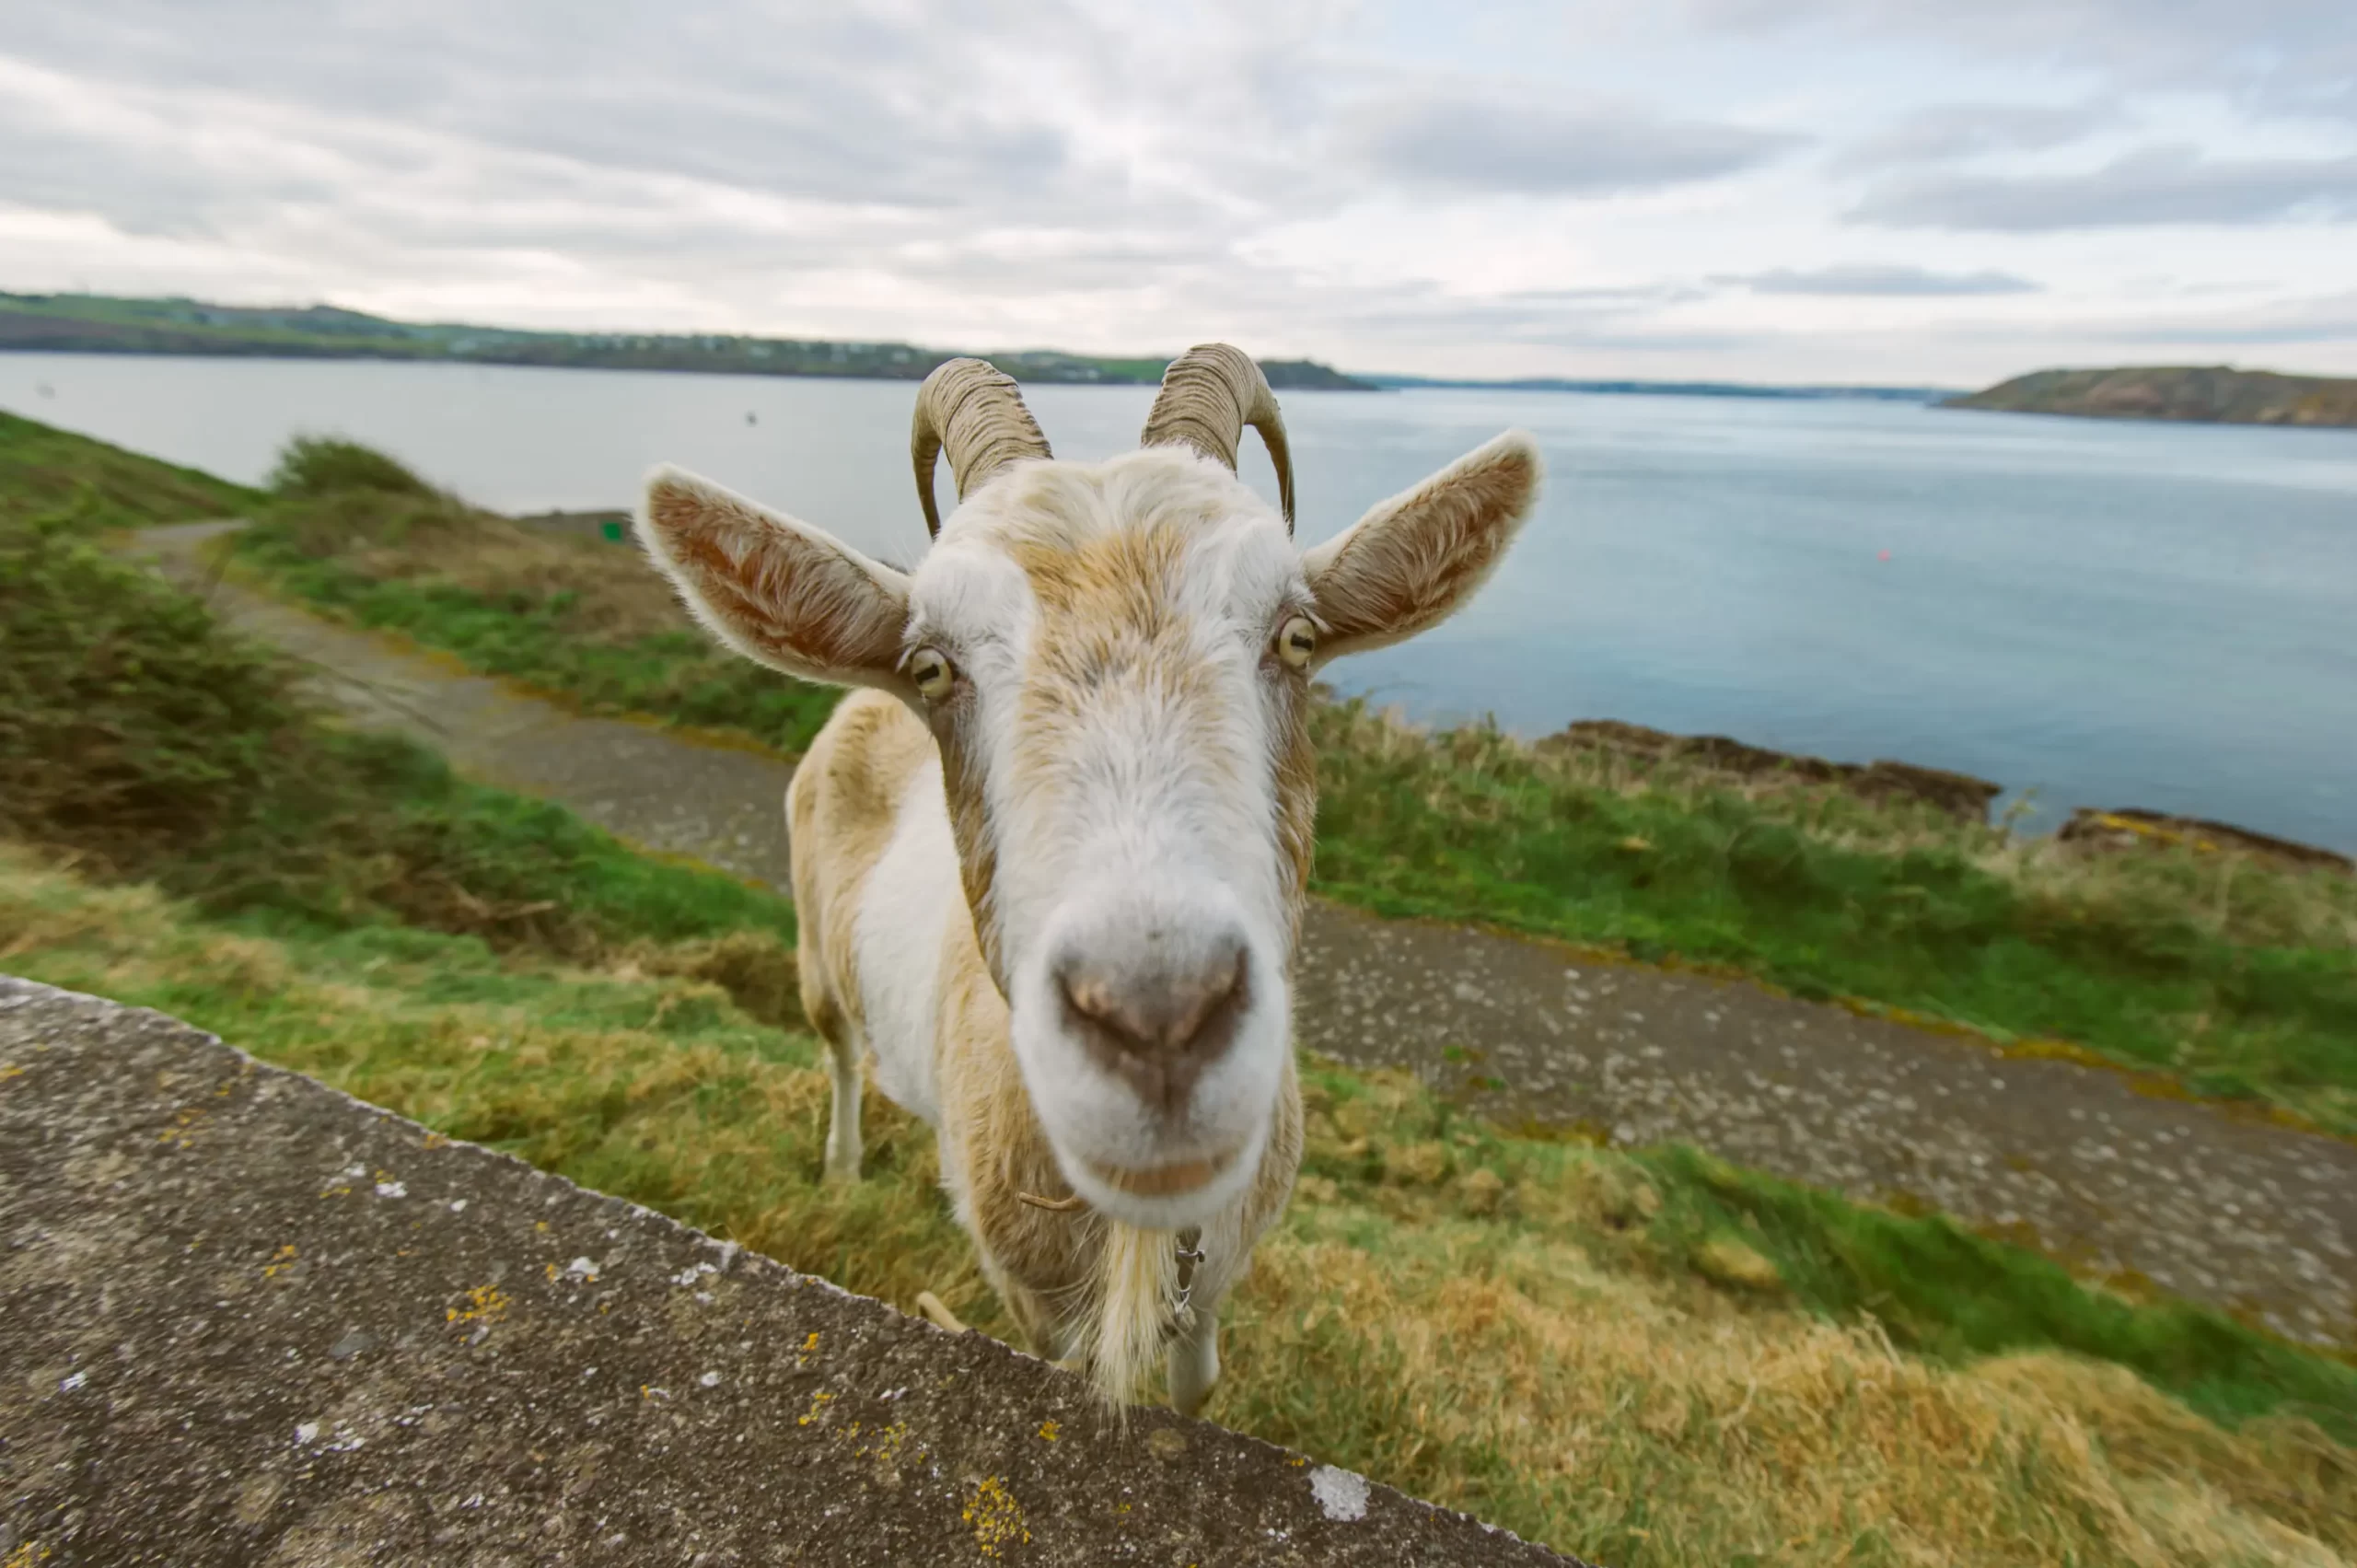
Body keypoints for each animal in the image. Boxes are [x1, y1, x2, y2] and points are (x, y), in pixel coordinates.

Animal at [637, 345, 1540, 1412]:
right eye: (933, 666)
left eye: (1297, 635)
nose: (1160, 1018)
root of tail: (860, 702)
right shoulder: (1031, 1291)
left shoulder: (1218, 1266)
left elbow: (1198, 1382)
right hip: (818, 957)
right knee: (841, 1050)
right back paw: (845, 1166)